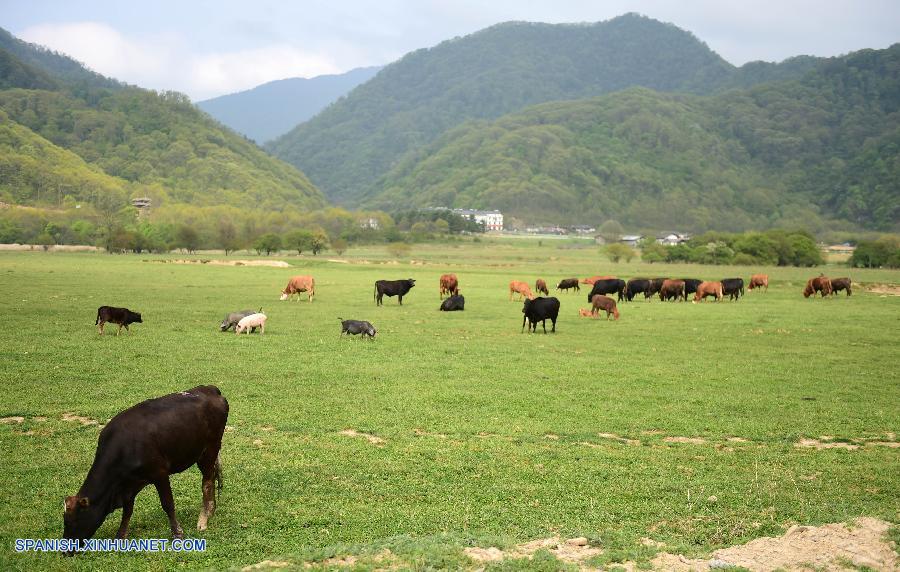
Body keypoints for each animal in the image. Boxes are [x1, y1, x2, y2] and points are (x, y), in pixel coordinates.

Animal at [62, 386, 227, 548]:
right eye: (64, 519)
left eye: (73, 520)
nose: (66, 550)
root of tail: (210, 389)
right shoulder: (129, 485)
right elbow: (128, 510)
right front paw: (120, 535)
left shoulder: (160, 473)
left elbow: (168, 504)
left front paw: (177, 533)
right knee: (212, 477)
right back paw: (211, 510)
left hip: (210, 449)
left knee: (207, 482)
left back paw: (203, 520)